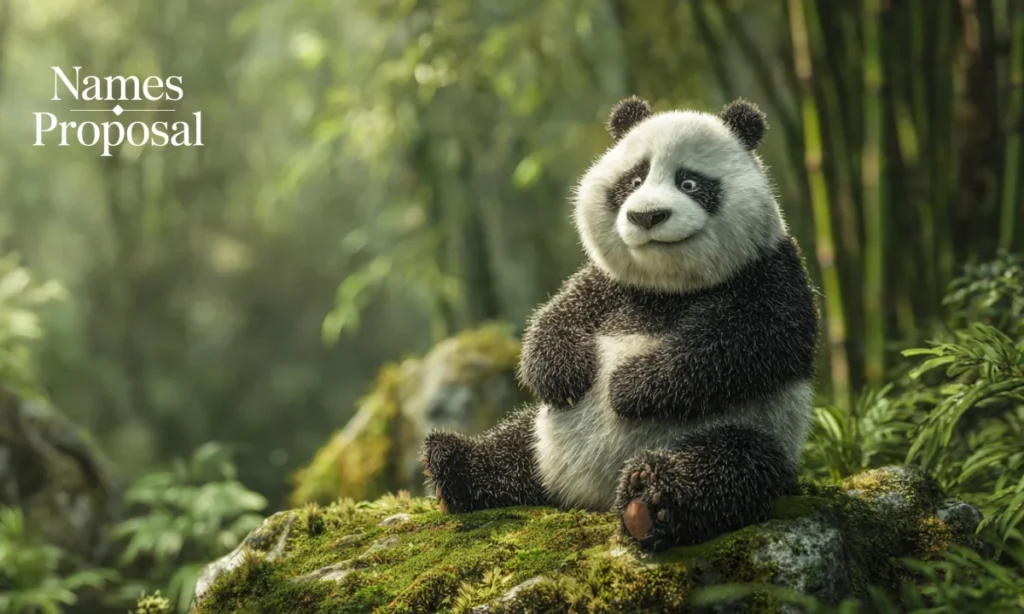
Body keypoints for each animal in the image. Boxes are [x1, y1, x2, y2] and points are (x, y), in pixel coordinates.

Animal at [421, 96, 820, 551]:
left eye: (690, 183)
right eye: (633, 181)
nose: (647, 216)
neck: (667, 288)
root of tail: (583, 496)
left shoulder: (770, 272)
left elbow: (750, 343)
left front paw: (627, 387)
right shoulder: (608, 286)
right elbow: (557, 316)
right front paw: (562, 375)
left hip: (758, 430)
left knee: (732, 467)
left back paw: (648, 501)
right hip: (541, 438)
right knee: (513, 448)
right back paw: (449, 466)